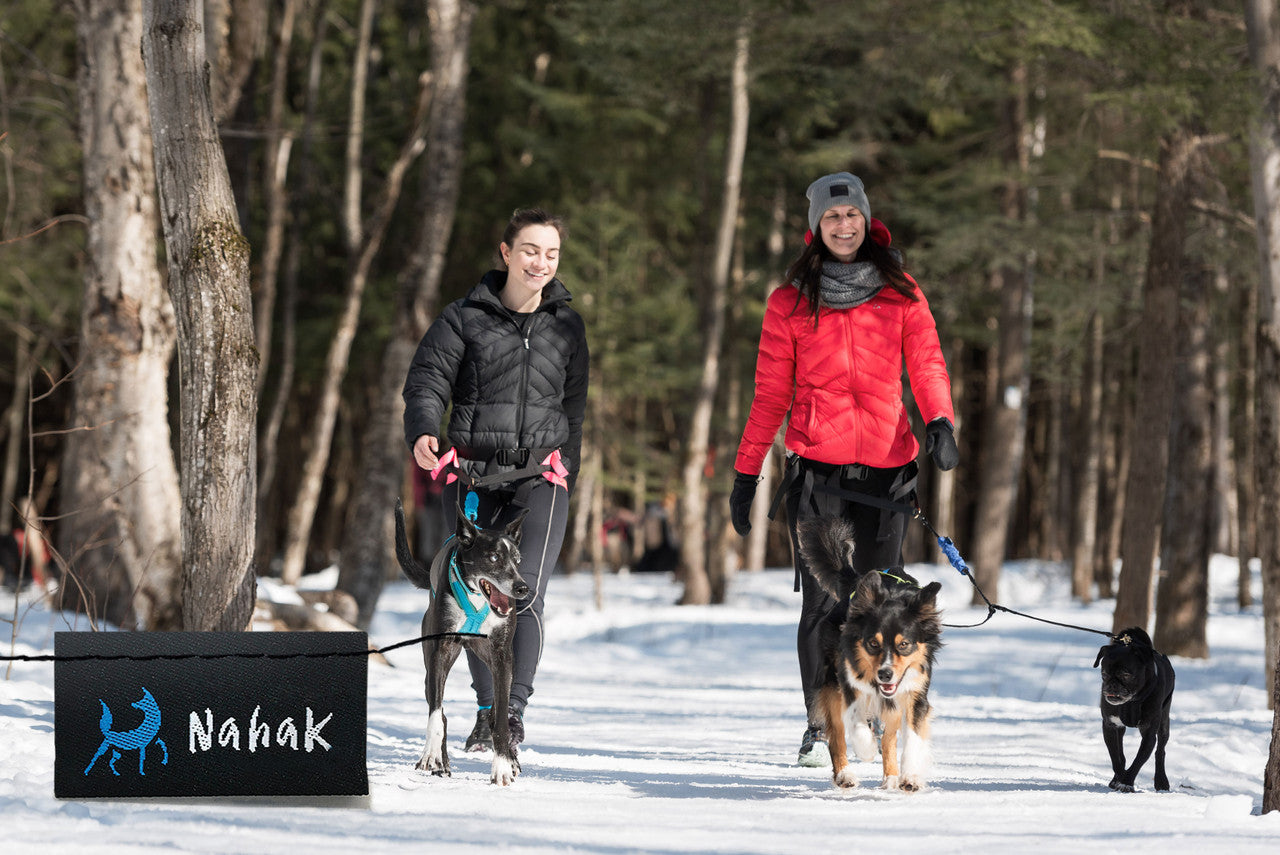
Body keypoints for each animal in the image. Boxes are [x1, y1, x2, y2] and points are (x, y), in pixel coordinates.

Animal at [391, 496, 527, 783]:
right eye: (493, 557)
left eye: (518, 560)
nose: (522, 588)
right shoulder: (440, 653)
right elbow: (436, 715)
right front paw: (431, 755)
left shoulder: (502, 657)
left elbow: (500, 718)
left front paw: (502, 765)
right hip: (432, 665)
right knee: (439, 710)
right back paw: (440, 762)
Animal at [1095, 624, 1172, 793]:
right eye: (1104, 674)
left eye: (1125, 675)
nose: (1111, 685)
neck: (1131, 702)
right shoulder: (1110, 726)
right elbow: (1116, 758)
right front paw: (1119, 779)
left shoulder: (1149, 733)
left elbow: (1139, 760)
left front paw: (1126, 782)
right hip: (1120, 729)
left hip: (1164, 723)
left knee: (1160, 751)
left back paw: (1161, 781)